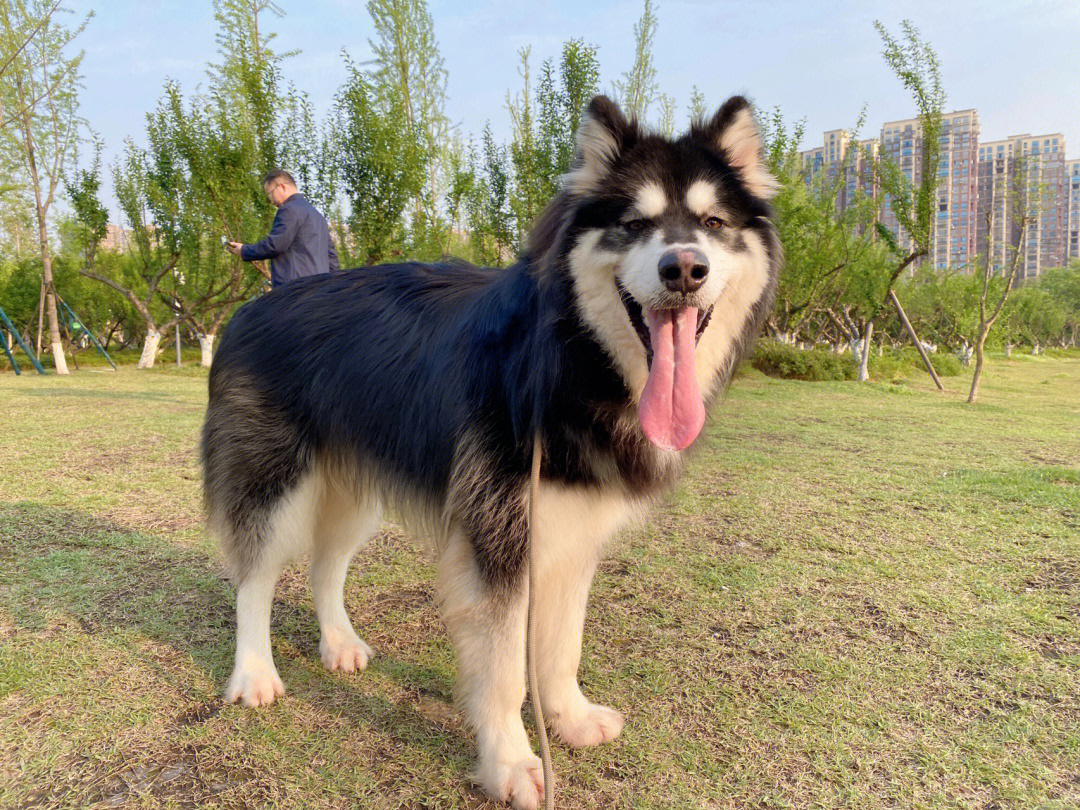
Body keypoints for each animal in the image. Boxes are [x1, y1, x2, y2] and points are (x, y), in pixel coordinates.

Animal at [200, 96, 777, 810]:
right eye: (634, 225)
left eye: (713, 223)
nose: (685, 268)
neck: (567, 359)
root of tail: (247, 312)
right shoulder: (499, 538)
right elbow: (503, 666)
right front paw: (512, 764)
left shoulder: (568, 535)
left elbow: (561, 645)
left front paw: (569, 719)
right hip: (275, 481)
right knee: (254, 576)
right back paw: (254, 674)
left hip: (355, 488)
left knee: (324, 566)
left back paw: (339, 644)